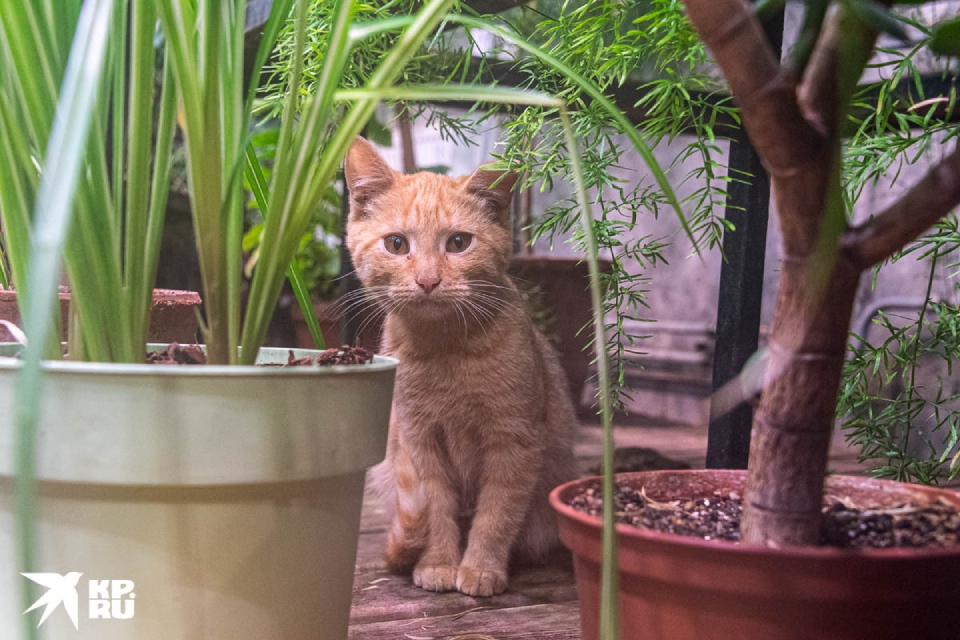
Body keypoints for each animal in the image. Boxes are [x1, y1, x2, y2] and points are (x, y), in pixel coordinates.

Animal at [344, 137, 579, 597]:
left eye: (458, 243)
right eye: (396, 245)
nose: (428, 281)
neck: (446, 352)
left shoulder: (514, 441)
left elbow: (496, 514)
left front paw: (481, 568)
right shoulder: (420, 442)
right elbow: (436, 511)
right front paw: (438, 564)